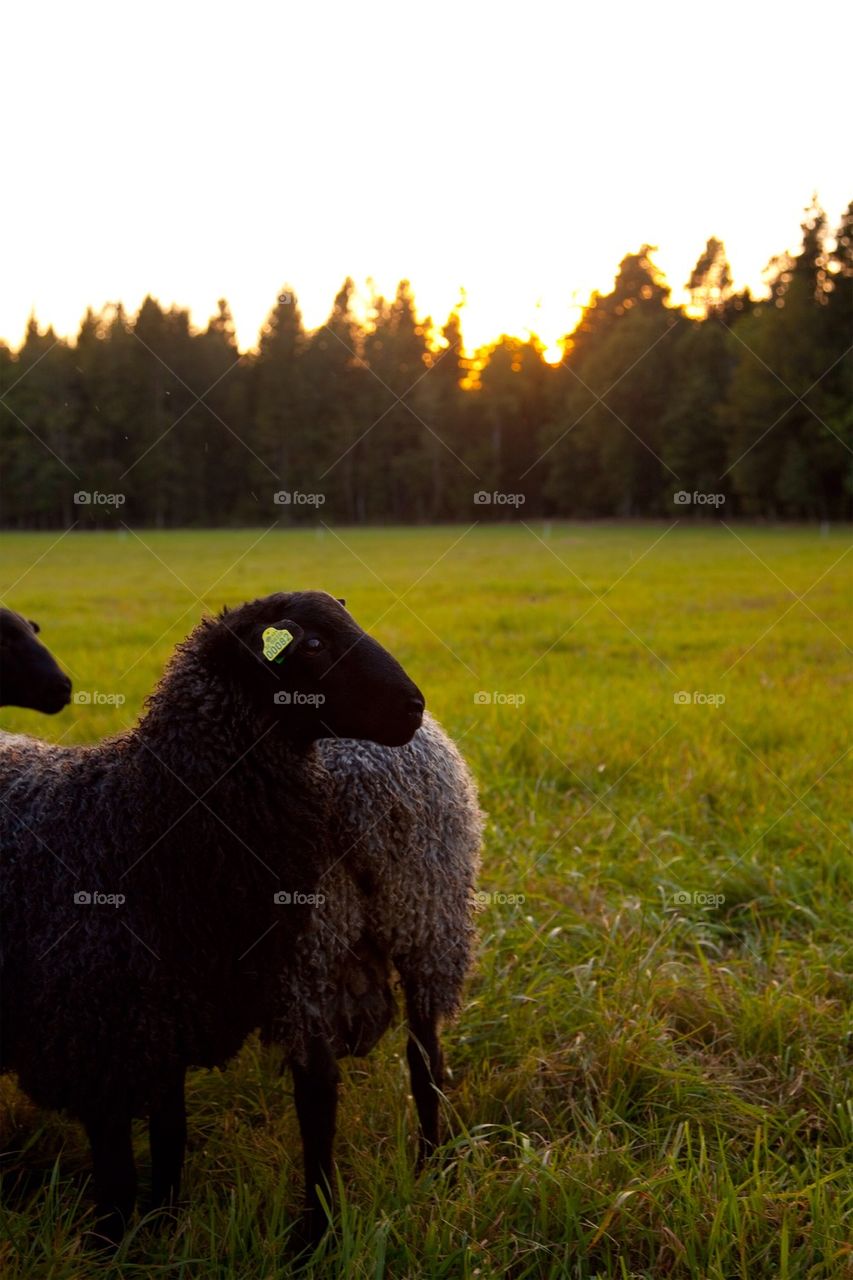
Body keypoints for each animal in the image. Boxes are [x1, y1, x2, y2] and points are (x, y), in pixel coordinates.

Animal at [0, 590, 424, 1243]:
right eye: (313, 643)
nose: (414, 707)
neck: (133, 826)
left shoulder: (167, 1032)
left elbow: (171, 1143)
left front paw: (166, 1231)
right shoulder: (97, 1043)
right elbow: (118, 1180)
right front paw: (112, 1247)